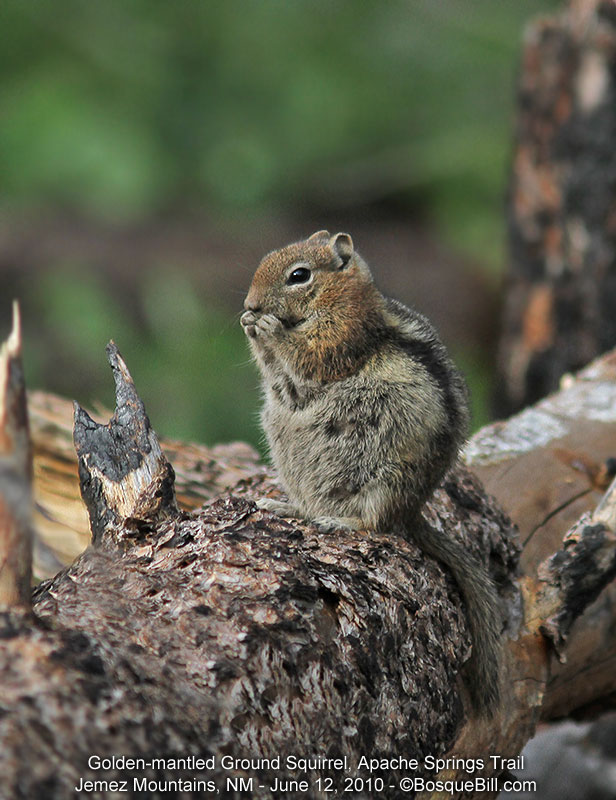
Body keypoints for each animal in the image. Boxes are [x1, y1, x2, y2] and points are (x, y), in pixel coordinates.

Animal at [240, 230, 502, 716]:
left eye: (298, 275)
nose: (249, 303)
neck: (340, 299)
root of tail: (412, 512)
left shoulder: (340, 336)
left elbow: (307, 357)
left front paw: (268, 329)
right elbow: (282, 378)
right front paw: (251, 323)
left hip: (385, 479)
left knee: (375, 523)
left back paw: (339, 521)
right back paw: (288, 506)